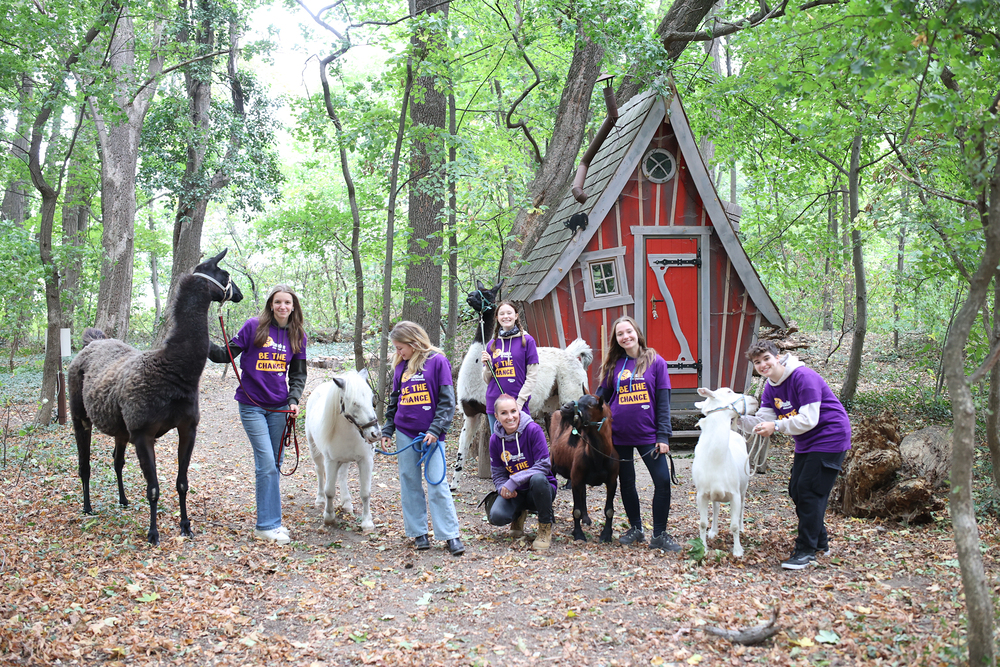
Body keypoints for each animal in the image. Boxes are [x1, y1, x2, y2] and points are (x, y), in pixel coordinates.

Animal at [68, 249, 243, 545]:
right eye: (225, 274)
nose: (240, 294)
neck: (174, 369)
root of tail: (93, 341)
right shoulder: (143, 433)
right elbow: (153, 488)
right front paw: (153, 533)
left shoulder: (187, 427)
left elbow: (182, 483)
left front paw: (186, 526)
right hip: (79, 416)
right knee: (85, 465)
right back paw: (87, 507)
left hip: (120, 428)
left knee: (117, 461)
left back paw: (123, 500)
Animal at [304, 369, 381, 533]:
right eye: (354, 403)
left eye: (372, 399)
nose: (375, 434)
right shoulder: (331, 461)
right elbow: (329, 491)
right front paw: (329, 517)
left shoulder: (365, 461)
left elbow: (365, 493)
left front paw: (367, 523)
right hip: (314, 449)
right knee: (319, 471)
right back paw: (320, 499)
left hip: (345, 460)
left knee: (342, 475)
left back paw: (346, 502)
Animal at [453, 280, 593, 488]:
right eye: (476, 290)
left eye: (488, 294)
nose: (470, 297)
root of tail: (571, 353)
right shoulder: (470, 413)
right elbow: (460, 452)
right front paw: (452, 486)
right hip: (551, 403)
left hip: (571, 392)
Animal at [549, 394, 619, 542]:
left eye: (591, 404)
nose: (565, 407)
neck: (599, 457)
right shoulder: (576, 478)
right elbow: (576, 510)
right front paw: (579, 534)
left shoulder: (612, 481)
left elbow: (609, 510)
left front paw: (606, 534)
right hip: (551, 463)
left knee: (584, 492)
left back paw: (586, 518)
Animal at [691, 387, 759, 558]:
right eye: (729, 391)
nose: (754, 399)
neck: (716, 460)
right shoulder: (701, 494)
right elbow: (702, 523)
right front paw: (703, 547)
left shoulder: (734, 494)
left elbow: (733, 525)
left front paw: (738, 551)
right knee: (716, 508)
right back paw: (714, 531)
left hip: (744, 487)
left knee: (742, 507)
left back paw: (742, 528)